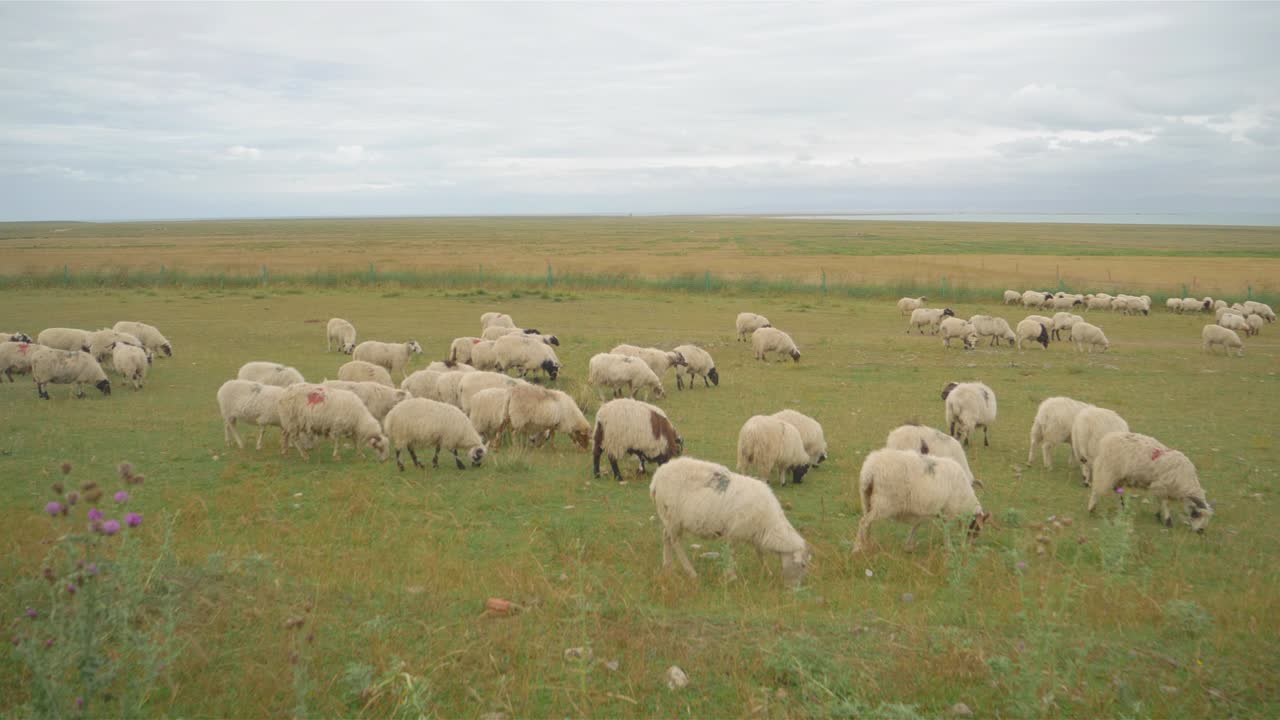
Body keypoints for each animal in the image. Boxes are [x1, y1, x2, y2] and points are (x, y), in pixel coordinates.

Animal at [650, 457, 810, 588]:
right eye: (803, 565)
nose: (794, 590)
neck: (769, 524)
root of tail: (657, 477)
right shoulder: (734, 533)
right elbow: (732, 553)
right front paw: (731, 576)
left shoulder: (755, 534)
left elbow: (760, 554)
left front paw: (767, 572)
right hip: (673, 517)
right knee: (675, 542)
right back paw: (691, 572)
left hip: (668, 519)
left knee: (666, 538)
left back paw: (668, 566)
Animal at [853, 448, 989, 552]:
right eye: (977, 529)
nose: (969, 546)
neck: (966, 500)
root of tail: (869, 470)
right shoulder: (949, 512)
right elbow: (947, 530)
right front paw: (950, 548)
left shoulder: (924, 511)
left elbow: (916, 526)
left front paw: (908, 546)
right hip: (883, 503)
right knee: (864, 522)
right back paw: (859, 548)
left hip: (867, 500)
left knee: (867, 523)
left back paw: (867, 544)